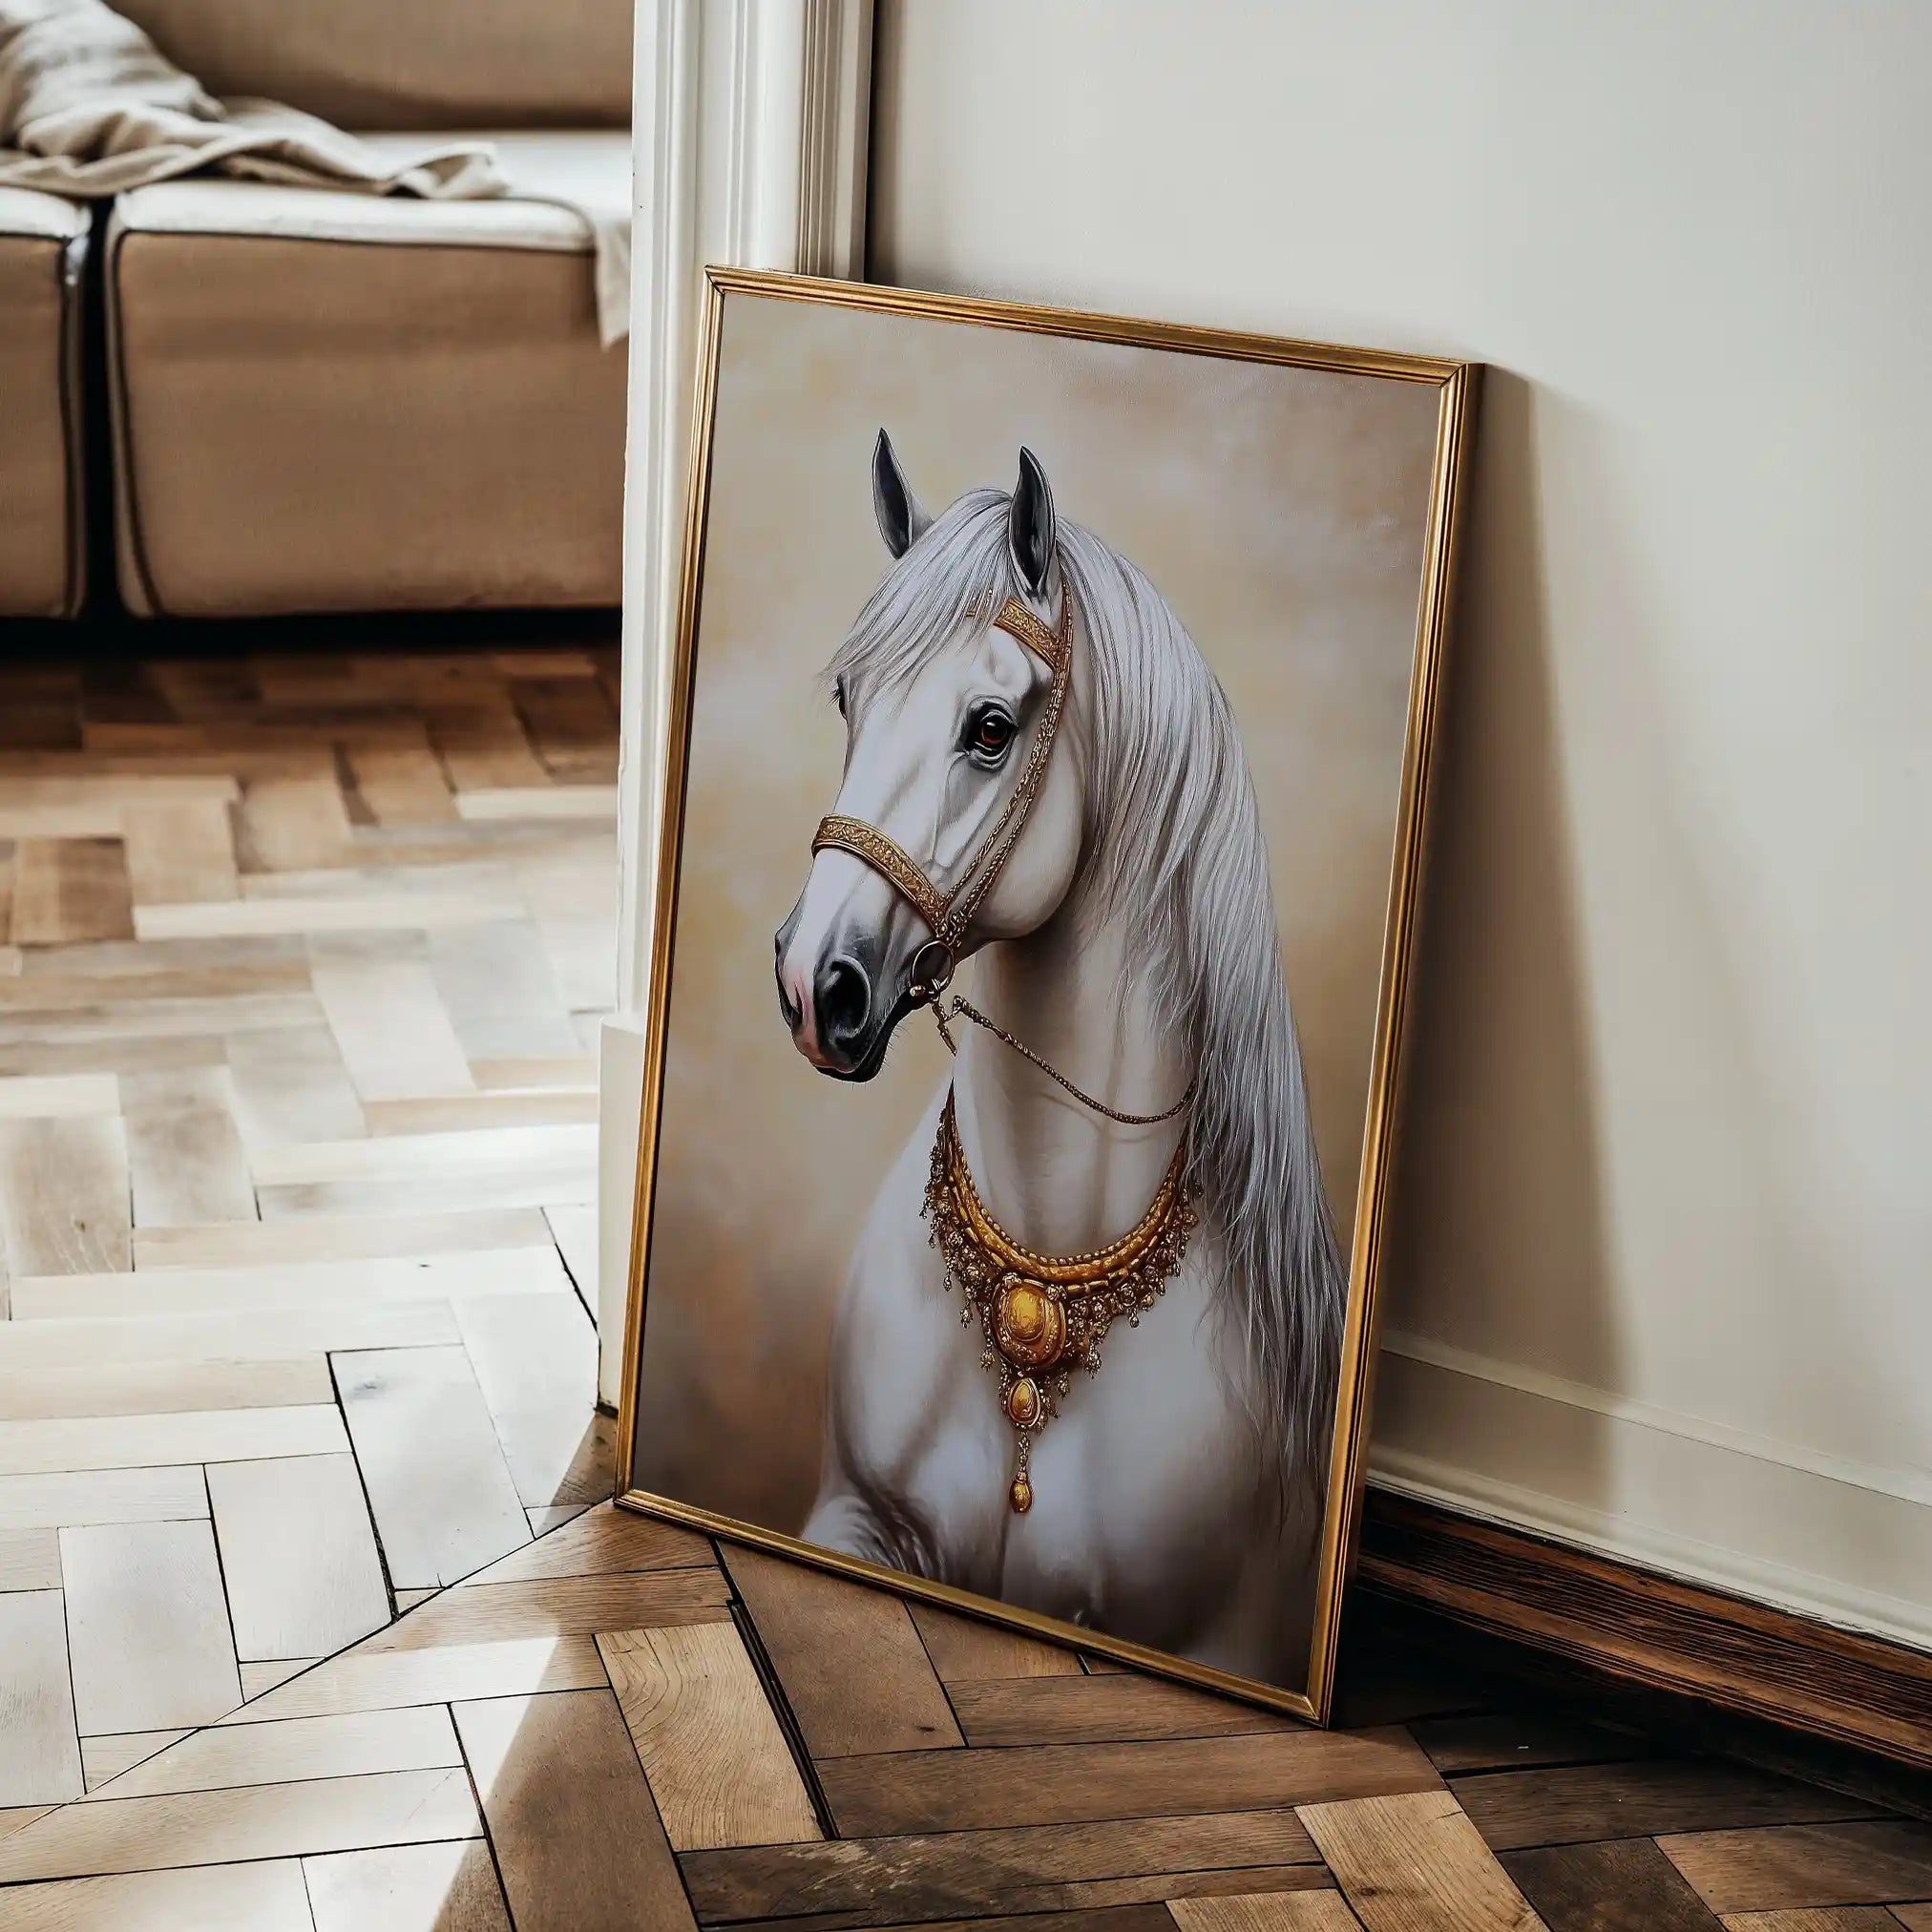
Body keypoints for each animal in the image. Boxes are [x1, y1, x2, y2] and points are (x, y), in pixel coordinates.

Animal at [771, 431, 1347, 1681]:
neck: (1040, 1267)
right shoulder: (847, 1514)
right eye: (847, 697)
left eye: (990, 727)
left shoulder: (1219, 1635)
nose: (812, 985)